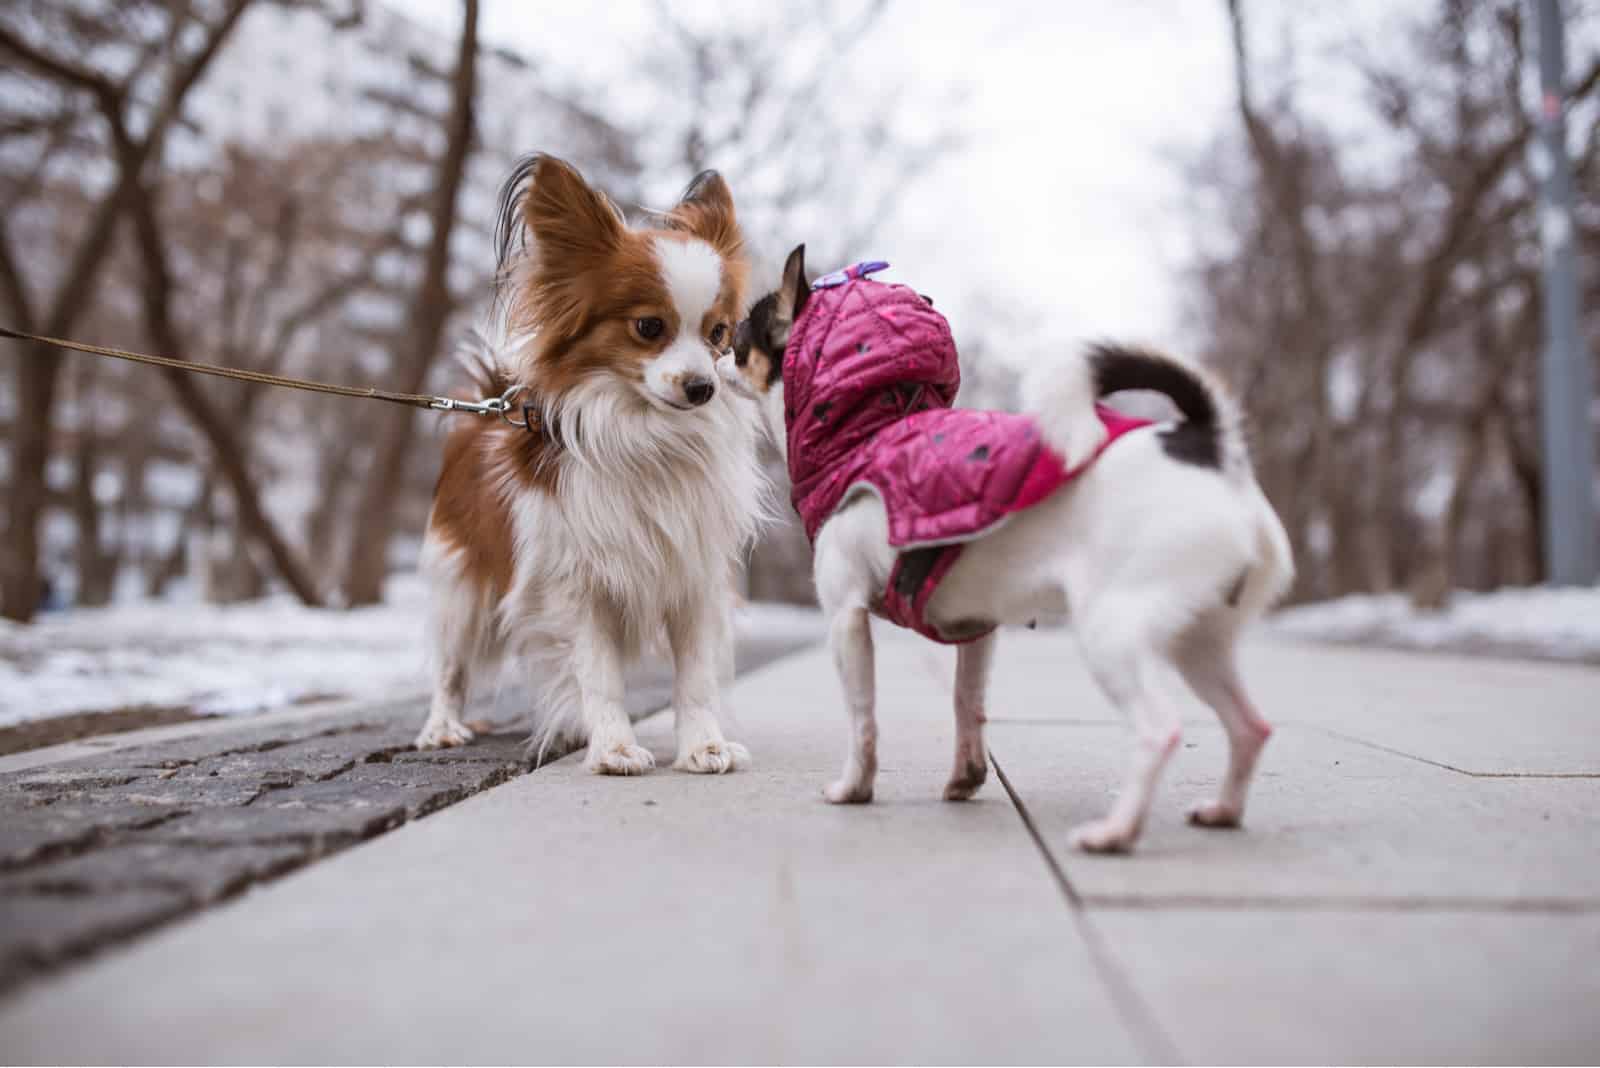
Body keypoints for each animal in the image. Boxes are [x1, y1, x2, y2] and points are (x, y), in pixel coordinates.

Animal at [412, 154, 761, 770]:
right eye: (649, 327)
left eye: (718, 333)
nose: (702, 388)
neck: (647, 435)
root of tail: (484, 409)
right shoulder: (577, 589)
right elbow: (599, 676)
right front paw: (614, 748)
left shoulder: (693, 579)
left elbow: (694, 677)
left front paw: (703, 746)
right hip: (462, 588)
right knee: (451, 666)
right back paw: (443, 728)